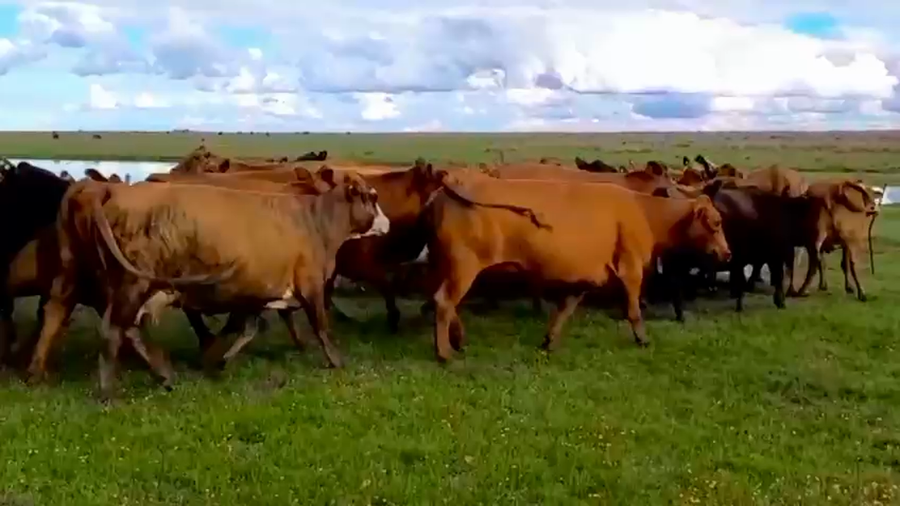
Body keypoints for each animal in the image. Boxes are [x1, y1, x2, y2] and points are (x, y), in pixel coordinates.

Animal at [420, 174, 731, 362]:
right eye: (716, 223)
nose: (727, 254)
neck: (642, 211)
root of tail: (450, 185)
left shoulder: (585, 279)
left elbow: (564, 310)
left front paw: (549, 341)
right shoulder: (630, 269)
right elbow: (633, 310)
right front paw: (642, 339)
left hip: (445, 266)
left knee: (442, 302)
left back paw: (458, 339)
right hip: (463, 267)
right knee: (444, 302)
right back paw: (444, 353)